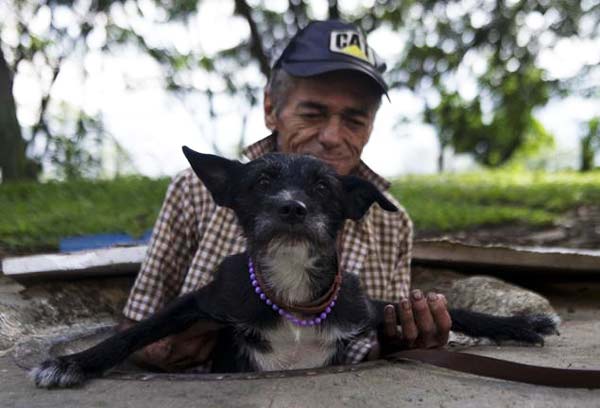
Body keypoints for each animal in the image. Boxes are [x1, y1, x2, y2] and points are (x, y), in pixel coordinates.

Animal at [31, 148, 556, 388]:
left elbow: (454, 310)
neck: (291, 286)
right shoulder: (206, 300)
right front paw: (72, 362)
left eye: (323, 186)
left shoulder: (363, 306)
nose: (292, 208)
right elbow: (135, 331)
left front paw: (521, 324)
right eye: (263, 180)